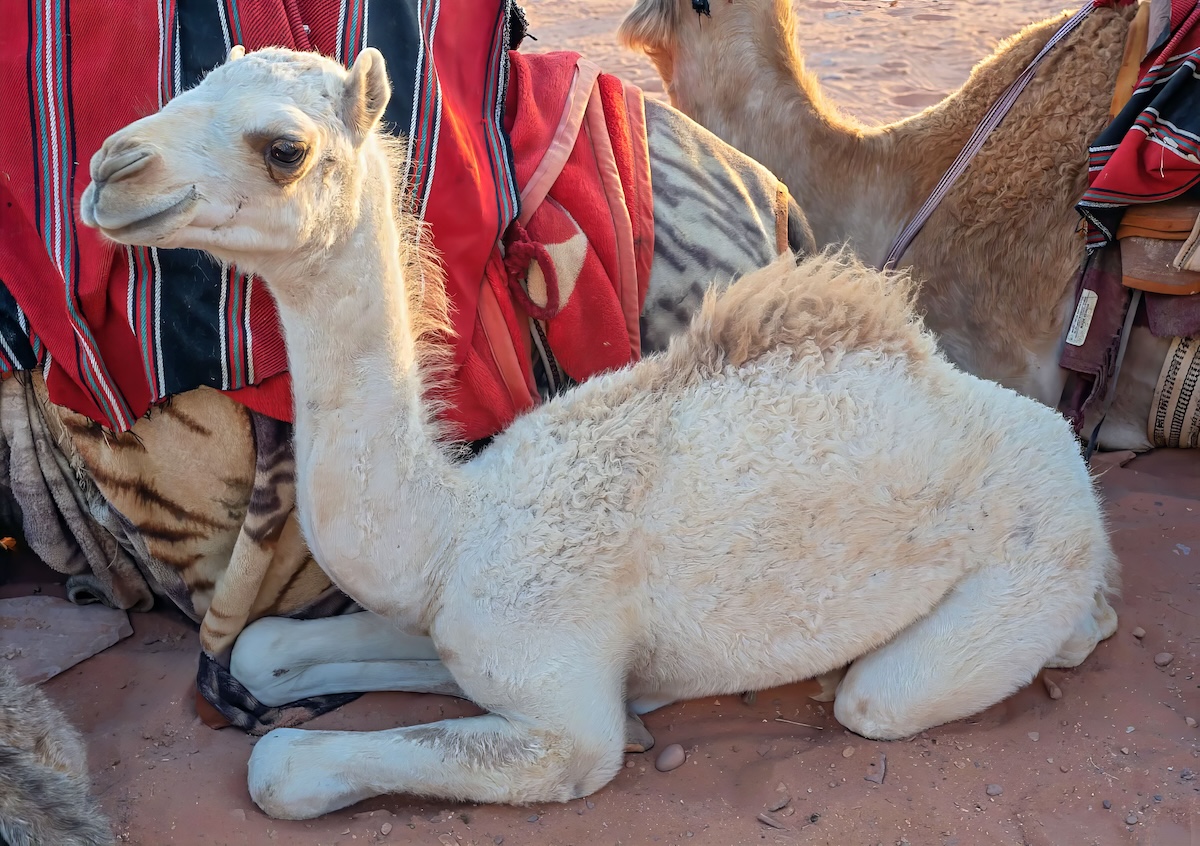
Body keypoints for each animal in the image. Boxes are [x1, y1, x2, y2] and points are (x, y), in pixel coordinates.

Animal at [81, 45, 1118, 817]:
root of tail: (1058, 444)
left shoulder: (566, 720)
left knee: (893, 693)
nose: (110, 169)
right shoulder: (469, 630)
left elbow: (284, 767)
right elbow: (266, 647)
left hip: (1023, 574)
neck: (452, 533)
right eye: (186, 86)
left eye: (283, 148)